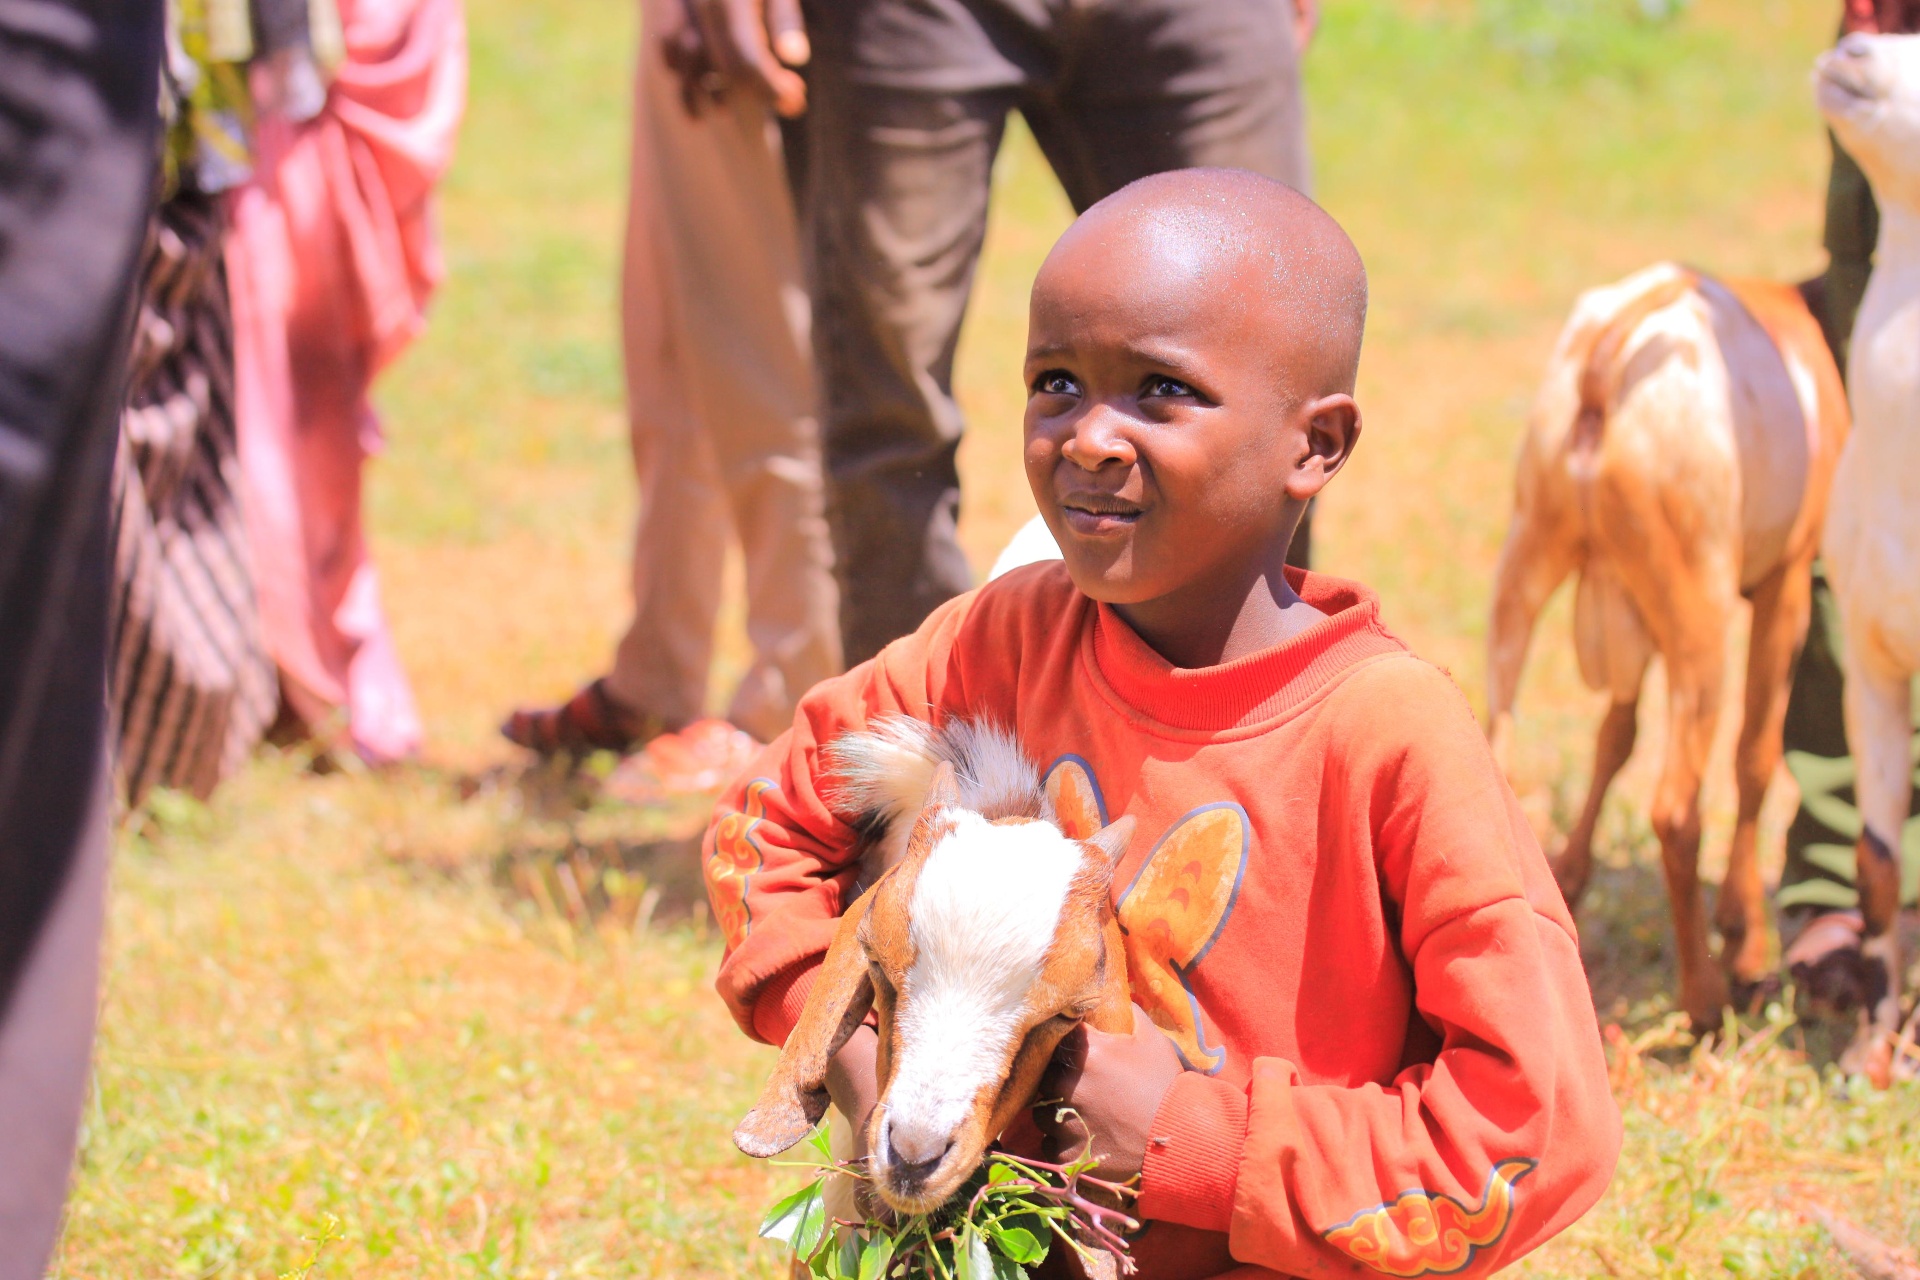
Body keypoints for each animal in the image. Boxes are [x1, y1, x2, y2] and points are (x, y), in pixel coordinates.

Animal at [1487, 262, 1848, 1031]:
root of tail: (1608, 360)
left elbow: (1615, 735)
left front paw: (1570, 876)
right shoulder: (1786, 583)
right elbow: (1755, 757)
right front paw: (1744, 936)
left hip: (1526, 557)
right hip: (1697, 611)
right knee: (1677, 808)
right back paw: (1706, 997)